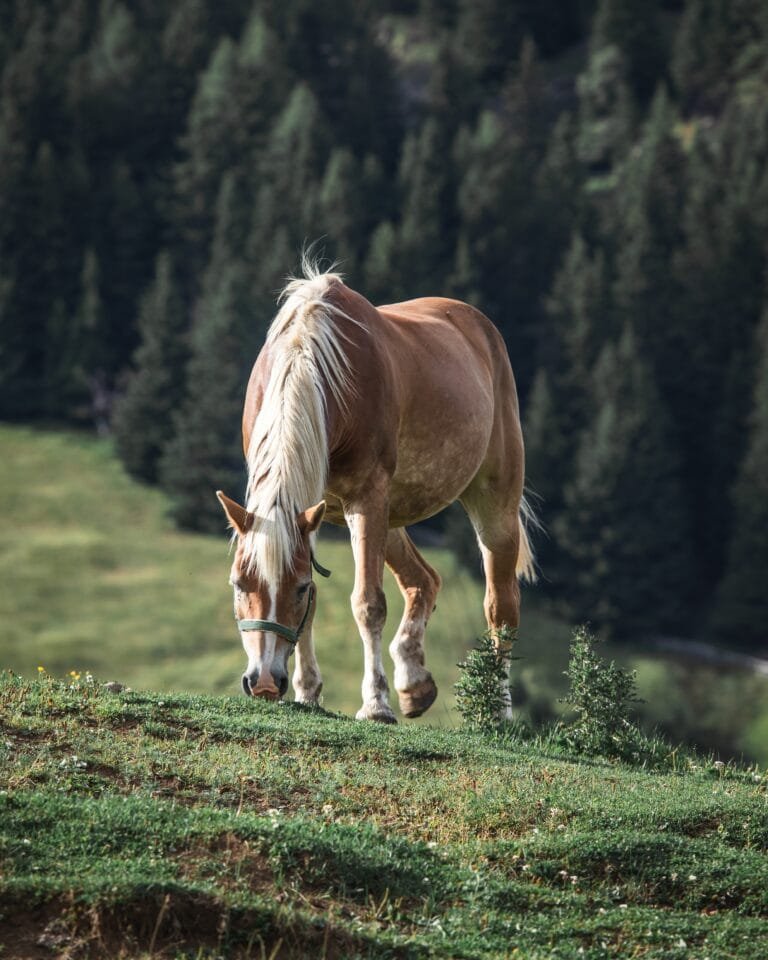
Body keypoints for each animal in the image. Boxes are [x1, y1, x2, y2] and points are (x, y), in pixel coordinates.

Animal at [216, 260, 536, 724]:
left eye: (295, 589)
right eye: (239, 584)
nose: (263, 682)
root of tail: (480, 326)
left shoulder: (366, 499)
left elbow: (368, 603)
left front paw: (375, 703)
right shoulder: (314, 510)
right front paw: (308, 691)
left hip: (492, 505)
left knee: (502, 607)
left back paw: (499, 709)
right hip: (389, 515)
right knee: (424, 579)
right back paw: (414, 682)